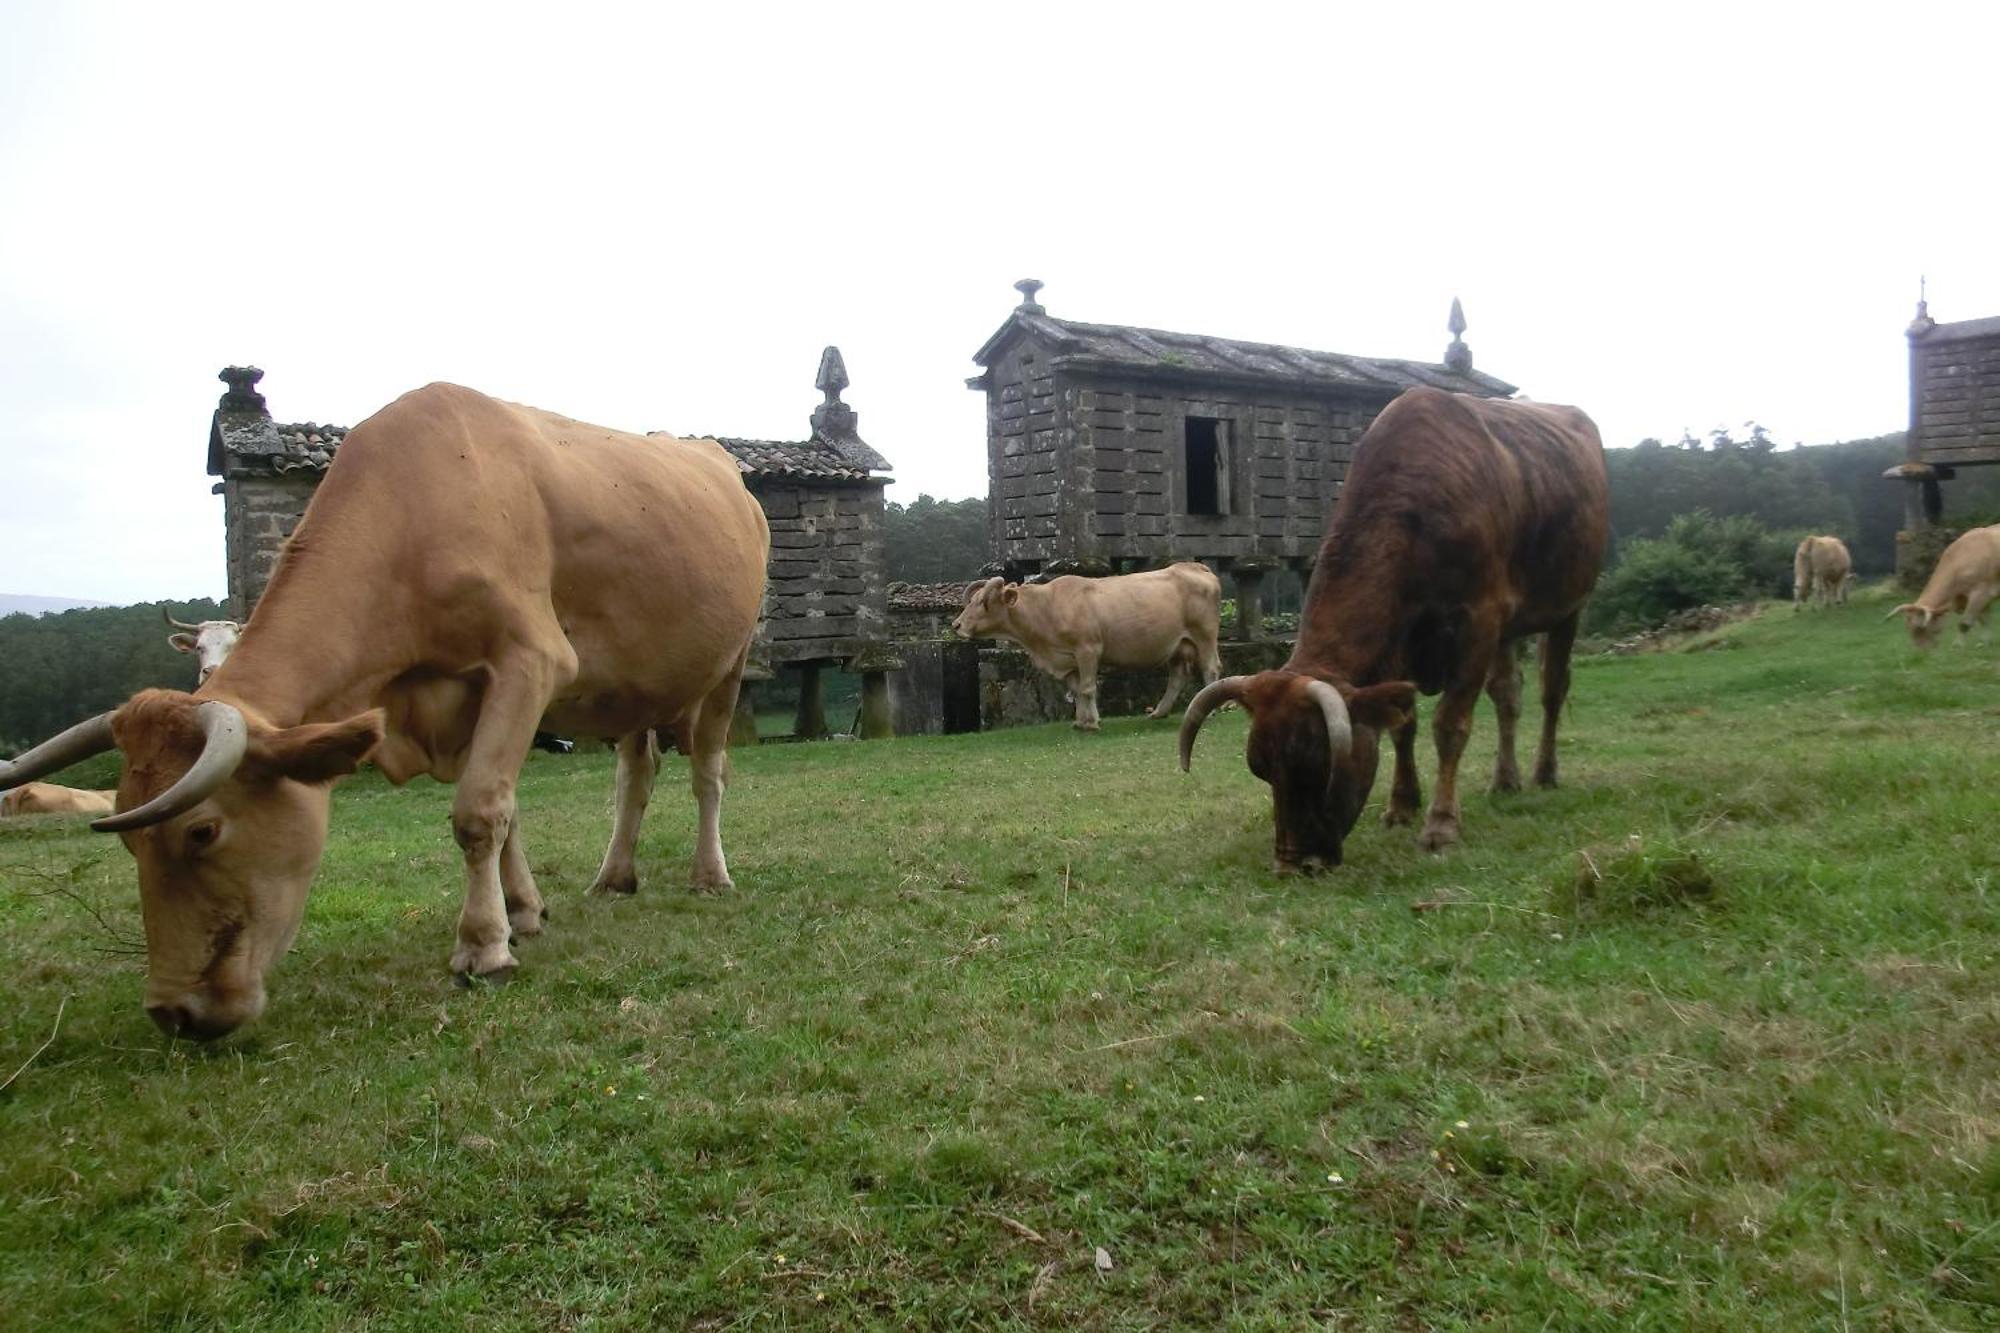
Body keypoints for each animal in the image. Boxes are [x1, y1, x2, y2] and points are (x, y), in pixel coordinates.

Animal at [0, 384, 768, 1040]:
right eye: (131, 840)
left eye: (202, 831)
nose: (172, 1012)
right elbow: (508, 811)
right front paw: (523, 913)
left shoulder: (531, 661)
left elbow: (479, 812)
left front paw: (483, 947)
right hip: (638, 684)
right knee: (635, 776)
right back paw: (615, 876)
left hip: (729, 665)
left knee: (708, 773)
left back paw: (710, 875)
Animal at [948, 556, 1216, 732]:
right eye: (972, 600)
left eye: (983, 602)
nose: (957, 625)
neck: (1048, 606)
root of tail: (1194, 566)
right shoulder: (1067, 660)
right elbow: (1076, 690)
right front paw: (1080, 721)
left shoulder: (1088, 650)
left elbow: (1087, 688)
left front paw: (1092, 723)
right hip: (1178, 646)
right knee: (1177, 677)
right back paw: (1160, 712)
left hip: (1205, 636)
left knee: (1210, 669)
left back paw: (1211, 709)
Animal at [1168, 384, 1608, 868]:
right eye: (1261, 768)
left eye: (1319, 764)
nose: (1291, 860)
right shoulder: (1405, 640)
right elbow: (1402, 724)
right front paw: (1401, 805)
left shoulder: (1478, 622)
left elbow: (1450, 725)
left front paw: (1441, 825)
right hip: (1510, 633)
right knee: (1508, 695)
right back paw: (1505, 780)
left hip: (1570, 606)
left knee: (1552, 690)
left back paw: (1544, 773)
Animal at [1888, 516, 2000, 644]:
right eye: (1908, 627)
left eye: (1920, 627)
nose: (1921, 648)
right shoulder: (1980, 598)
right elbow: (1984, 620)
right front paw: (1985, 642)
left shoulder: (1980, 593)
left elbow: (1964, 624)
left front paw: (1957, 645)